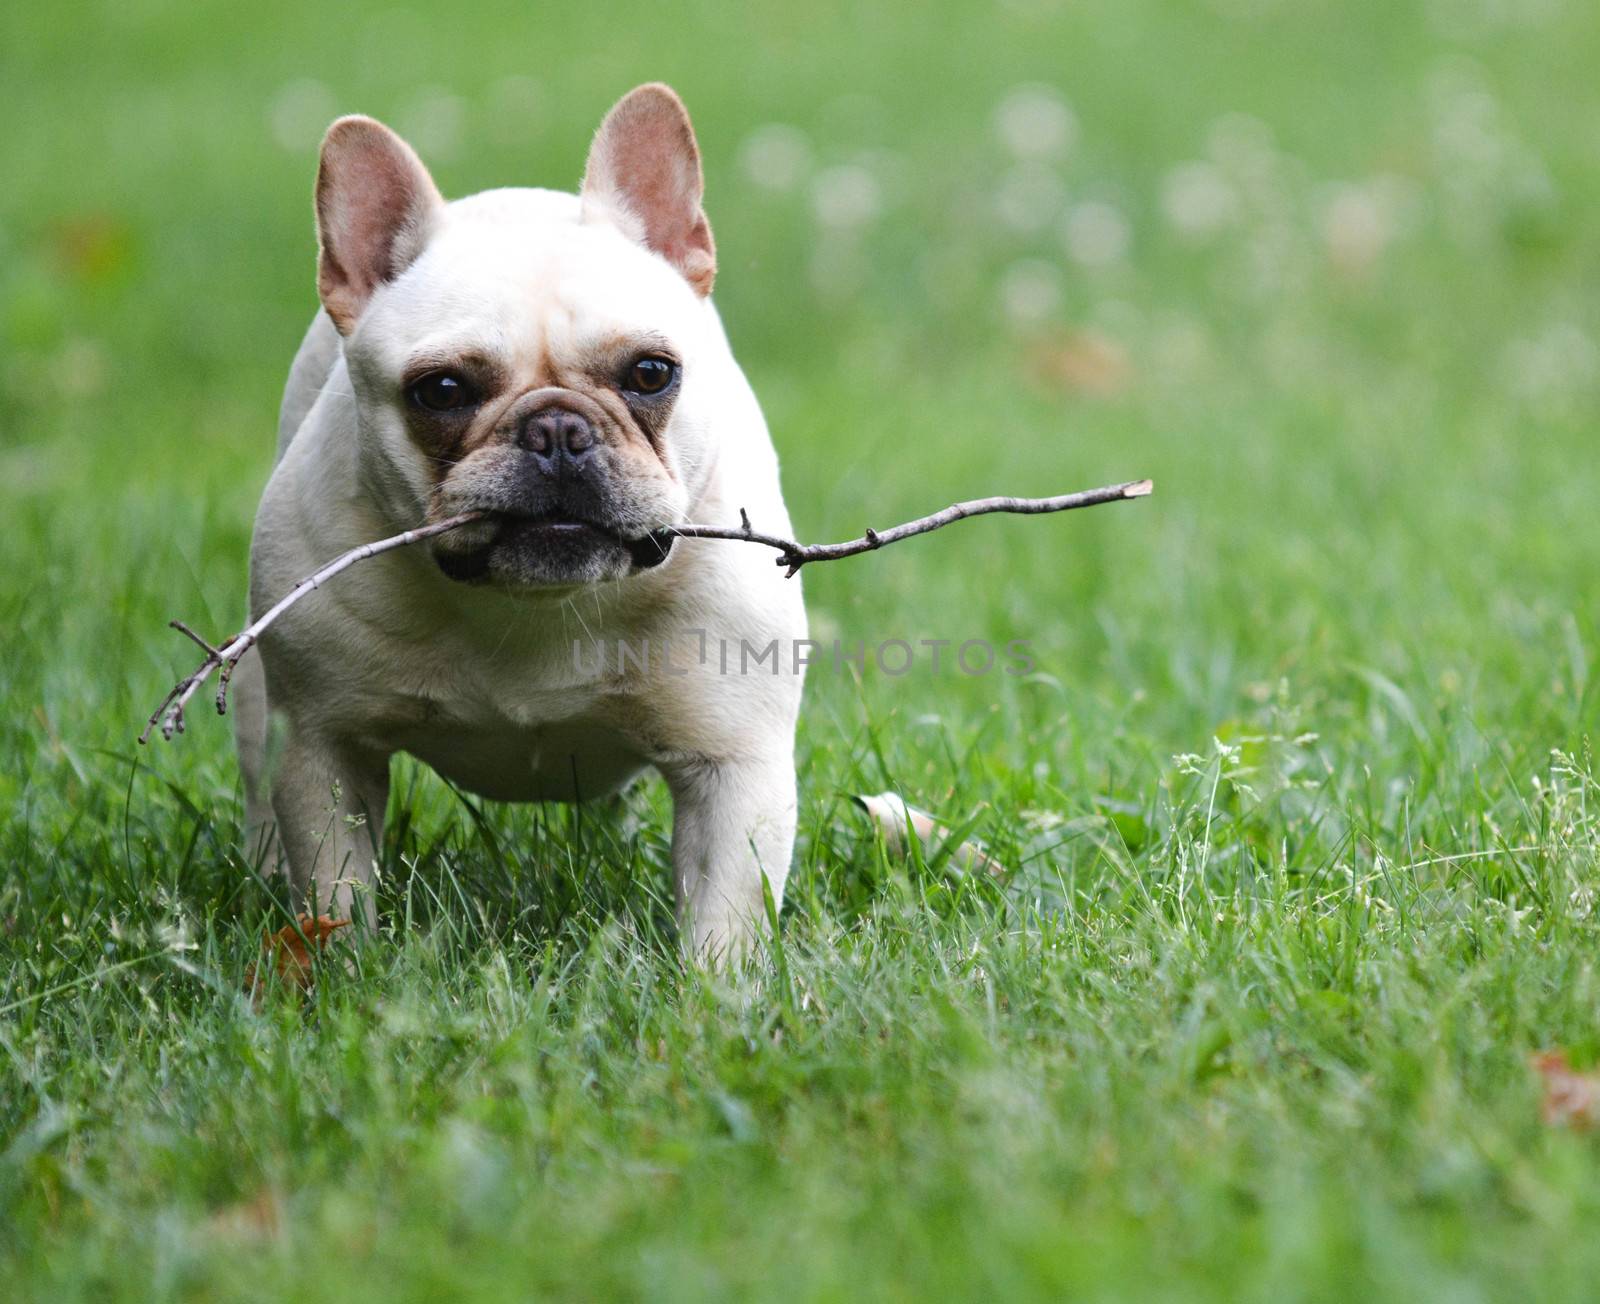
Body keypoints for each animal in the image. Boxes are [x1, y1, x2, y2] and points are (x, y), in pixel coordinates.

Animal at [232, 84, 806, 960]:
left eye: (651, 373)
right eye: (440, 391)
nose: (557, 431)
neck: (535, 607)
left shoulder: (734, 764)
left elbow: (724, 918)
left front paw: (717, 990)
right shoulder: (326, 750)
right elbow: (337, 889)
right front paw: (344, 971)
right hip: (260, 704)